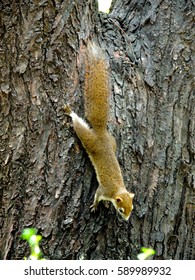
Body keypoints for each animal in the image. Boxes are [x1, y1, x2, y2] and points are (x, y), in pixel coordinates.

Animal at [64, 42, 134, 220]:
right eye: (121, 209)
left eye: (132, 208)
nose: (126, 219)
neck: (117, 190)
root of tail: (100, 132)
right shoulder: (103, 191)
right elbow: (96, 196)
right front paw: (95, 206)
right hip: (89, 140)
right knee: (79, 126)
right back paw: (70, 112)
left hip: (112, 141)